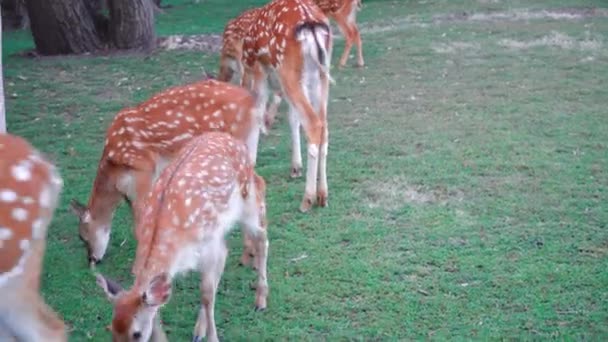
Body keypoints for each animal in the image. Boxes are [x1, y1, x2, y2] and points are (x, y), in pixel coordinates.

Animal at [69, 79, 264, 264]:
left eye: (82, 237)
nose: (92, 259)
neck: (114, 172)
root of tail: (252, 101)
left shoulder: (143, 171)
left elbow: (141, 222)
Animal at [242, 0, 334, 212]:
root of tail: (311, 24)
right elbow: (292, 118)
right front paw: (296, 167)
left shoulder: (259, 73)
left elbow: (257, 112)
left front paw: (252, 162)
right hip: (321, 75)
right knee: (323, 125)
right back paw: (323, 195)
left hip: (289, 71)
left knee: (313, 123)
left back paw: (307, 199)